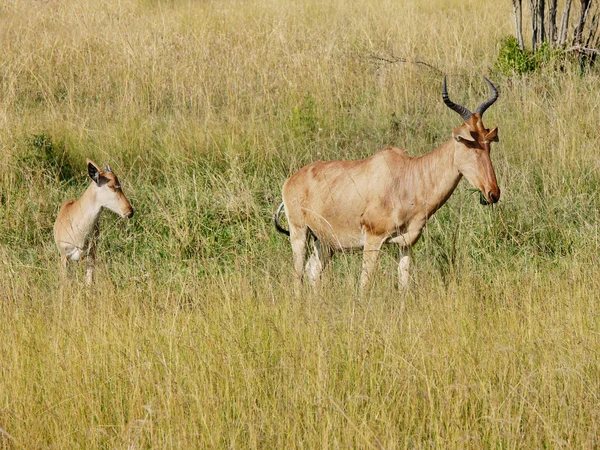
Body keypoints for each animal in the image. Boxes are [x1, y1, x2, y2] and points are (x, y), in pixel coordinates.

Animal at [274, 76, 500, 296]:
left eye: (488, 144)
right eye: (469, 143)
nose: (493, 193)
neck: (408, 175)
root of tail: (290, 180)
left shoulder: (406, 244)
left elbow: (404, 287)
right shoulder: (373, 239)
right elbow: (364, 286)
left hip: (323, 241)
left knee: (312, 272)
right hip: (299, 232)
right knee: (298, 276)